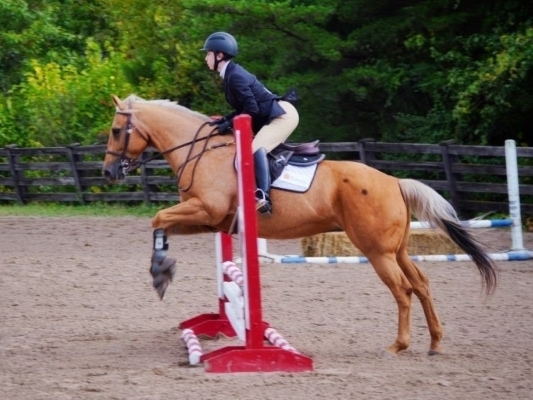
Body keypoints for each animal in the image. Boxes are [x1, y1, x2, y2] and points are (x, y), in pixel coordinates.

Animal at [102, 94, 496, 356]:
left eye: (117, 130)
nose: (107, 173)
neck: (201, 151)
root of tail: (394, 182)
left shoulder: (204, 210)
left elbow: (158, 218)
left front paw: (159, 273)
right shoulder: (210, 220)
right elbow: (161, 224)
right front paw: (163, 270)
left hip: (376, 252)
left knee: (403, 291)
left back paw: (398, 345)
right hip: (396, 250)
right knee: (422, 284)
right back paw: (435, 342)